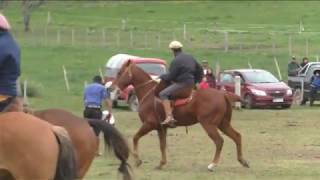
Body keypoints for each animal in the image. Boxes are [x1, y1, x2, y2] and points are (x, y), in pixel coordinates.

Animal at [112, 60, 250, 172]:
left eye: (119, 72)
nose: (112, 88)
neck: (149, 94)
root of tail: (223, 94)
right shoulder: (161, 128)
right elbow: (162, 145)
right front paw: (161, 164)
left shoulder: (149, 124)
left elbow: (135, 137)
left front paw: (137, 160)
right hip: (223, 124)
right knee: (237, 136)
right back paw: (243, 161)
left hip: (209, 125)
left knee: (219, 141)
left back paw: (212, 165)